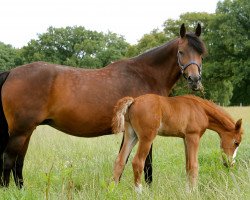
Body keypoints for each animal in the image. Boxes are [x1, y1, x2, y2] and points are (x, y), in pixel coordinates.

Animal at [112, 94, 243, 192]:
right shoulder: (193, 136)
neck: (201, 109)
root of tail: (134, 101)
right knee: (137, 162)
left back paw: (113, 189)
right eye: (236, 143)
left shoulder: (185, 138)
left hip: (131, 136)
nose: (230, 163)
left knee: (120, 160)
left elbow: (188, 165)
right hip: (146, 138)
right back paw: (139, 192)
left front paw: (188, 191)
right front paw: (194, 192)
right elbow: (194, 165)